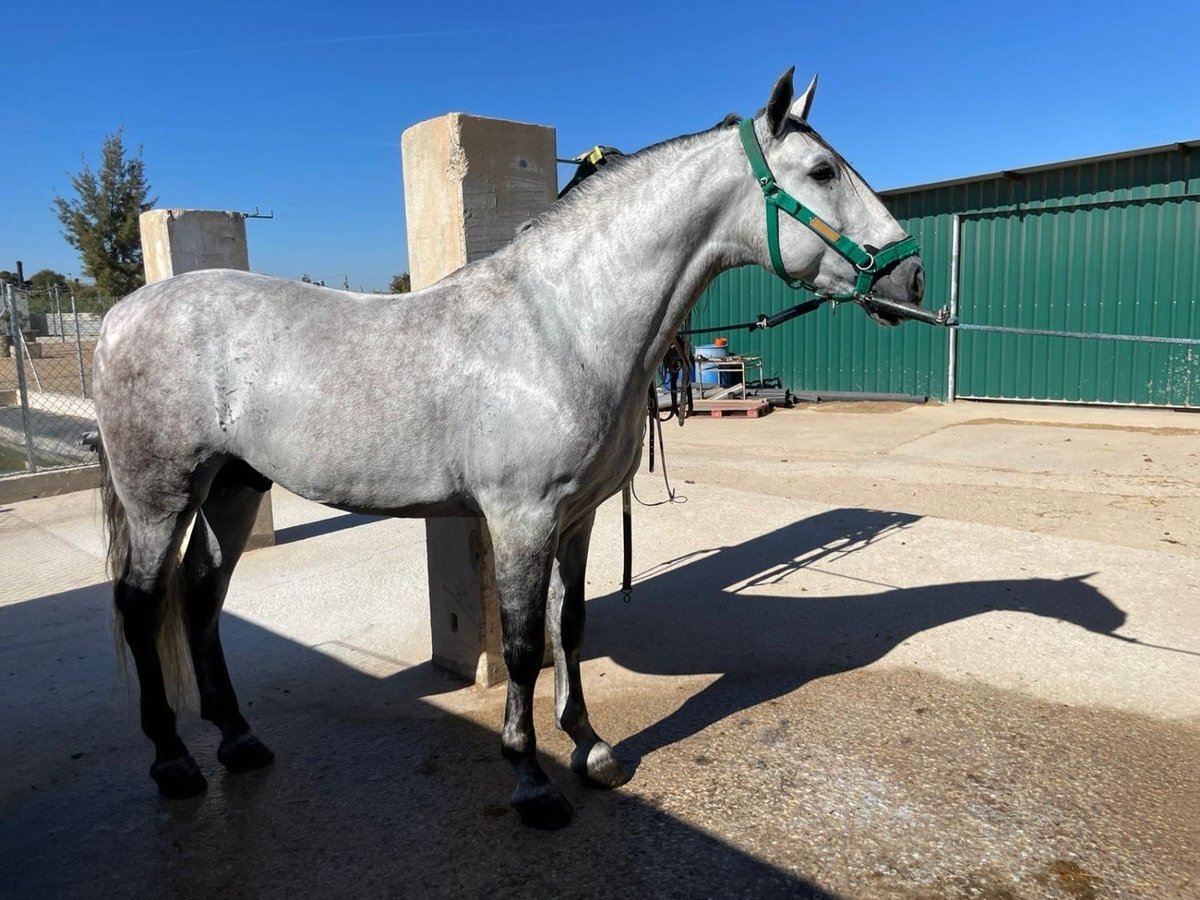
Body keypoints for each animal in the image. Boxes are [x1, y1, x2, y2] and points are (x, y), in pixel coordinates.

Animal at [93, 68, 926, 830]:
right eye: (822, 172)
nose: (912, 276)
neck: (561, 326)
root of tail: (121, 316)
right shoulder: (522, 518)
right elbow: (524, 644)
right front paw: (531, 779)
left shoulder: (578, 517)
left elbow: (570, 627)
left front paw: (590, 748)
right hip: (161, 497)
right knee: (141, 604)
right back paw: (173, 761)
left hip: (233, 487)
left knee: (202, 594)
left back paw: (238, 741)